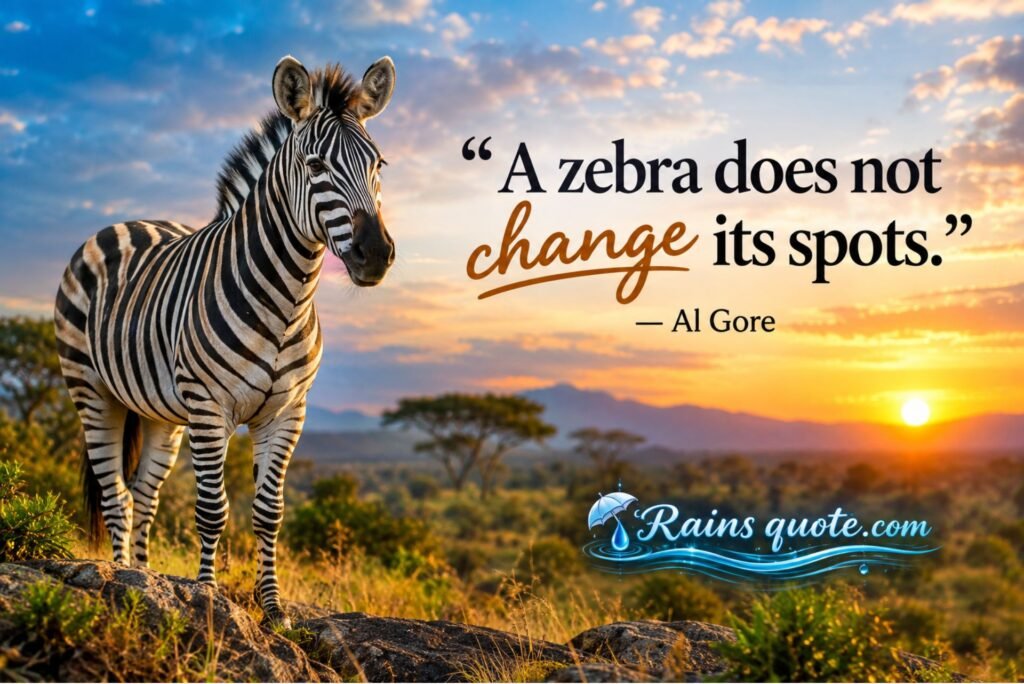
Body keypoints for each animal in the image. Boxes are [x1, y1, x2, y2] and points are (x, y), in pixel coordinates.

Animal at [53, 55, 396, 627]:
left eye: (379, 166)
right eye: (314, 165)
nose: (376, 254)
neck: (288, 300)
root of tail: (125, 223)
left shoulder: (287, 411)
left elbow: (268, 512)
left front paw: (273, 609)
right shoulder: (210, 406)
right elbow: (213, 509)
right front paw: (209, 598)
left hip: (161, 412)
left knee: (143, 495)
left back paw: (144, 578)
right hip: (92, 390)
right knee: (117, 495)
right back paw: (122, 575)